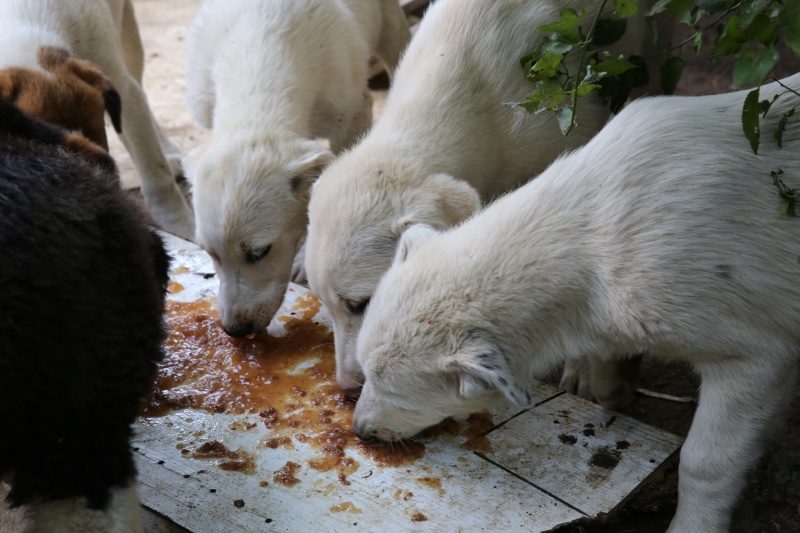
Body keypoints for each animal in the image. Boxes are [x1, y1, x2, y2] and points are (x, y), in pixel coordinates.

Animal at [0, 0, 197, 239]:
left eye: (97, 130)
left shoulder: (126, 91)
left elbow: (155, 168)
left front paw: (181, 221)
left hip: (130, 39)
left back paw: (168, 151)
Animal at [354, 72, 800, 528]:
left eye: (397, 397)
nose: (359, 432)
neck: (591, 243)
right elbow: (607, 370)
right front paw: (616, 386)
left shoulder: (756, 359)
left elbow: (704, 463)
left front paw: (692, 526)